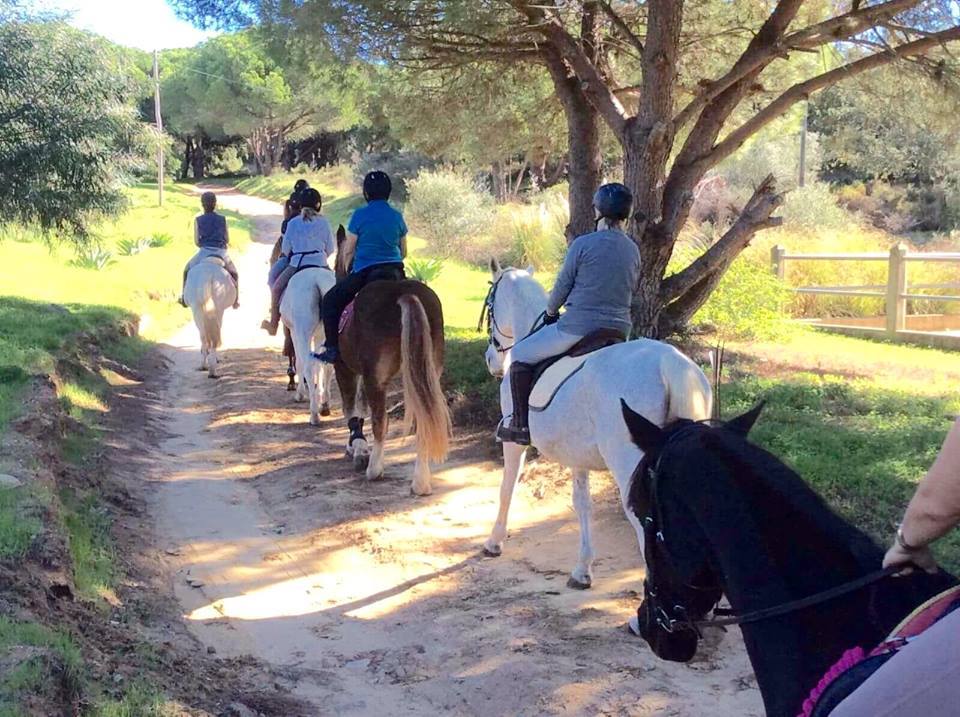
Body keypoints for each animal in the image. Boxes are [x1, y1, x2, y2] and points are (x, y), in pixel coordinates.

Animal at [280, 268, 336, 426]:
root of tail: (317, 281)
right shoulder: (319, 336)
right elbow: (320, 365)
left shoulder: (294, 332)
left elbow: (299, 362)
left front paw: (300, 393)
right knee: (328, 365)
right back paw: (324, 405)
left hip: (302, 331)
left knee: (308, 367)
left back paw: (314, 415)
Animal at [330, 227, 450, 496]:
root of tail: (403, 294)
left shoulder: (345, 369)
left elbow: (351, 407)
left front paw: (356, 447)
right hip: (424, 373)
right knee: (422, 421)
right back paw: (421, 482)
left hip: (377, 378)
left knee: (380, 421)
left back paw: (374, 469)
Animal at [480, 260, 712, 592]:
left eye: (490, 306)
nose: (492, 362)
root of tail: (669, 364)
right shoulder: (578, 456)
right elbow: (582, 504)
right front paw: (582, 570)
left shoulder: (513, 442)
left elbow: (506, 488)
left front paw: (494, 542)